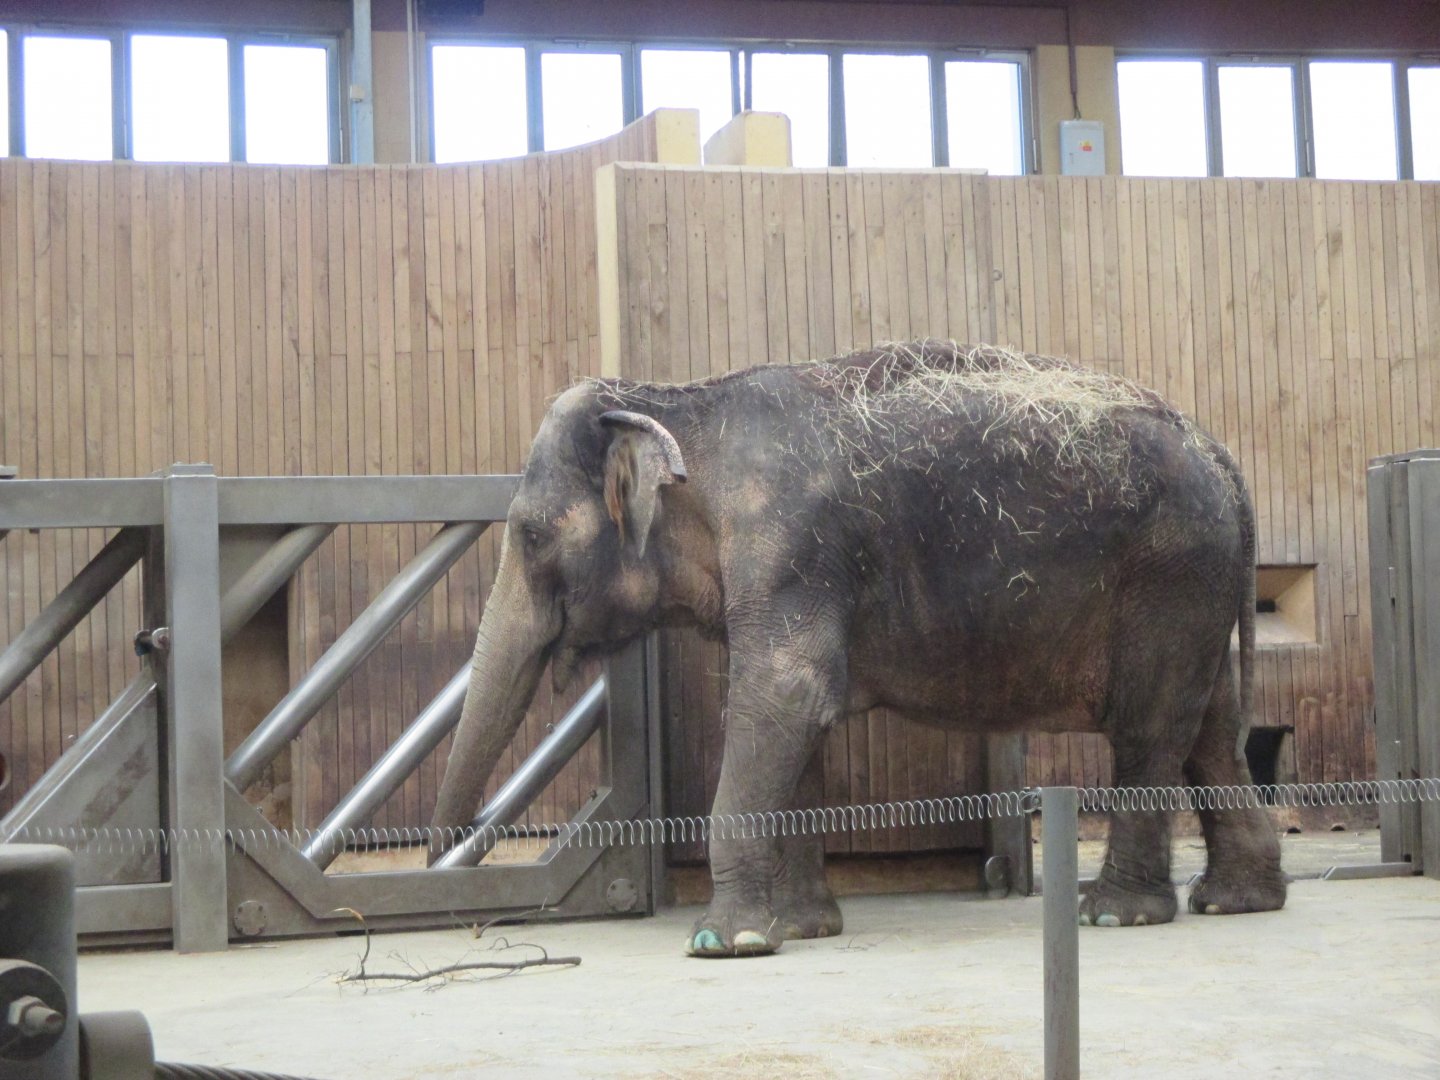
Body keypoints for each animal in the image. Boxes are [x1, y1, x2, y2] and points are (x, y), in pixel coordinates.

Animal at [432, 339, 1287, 957]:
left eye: (530, 535)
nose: (446, 864)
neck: (678, 400)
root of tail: (1221, 452)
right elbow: (798, 725)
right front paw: (803, 929)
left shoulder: (789, 548)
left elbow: (783, 700)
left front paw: (725, 943)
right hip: (1195, 588)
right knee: (1210, 727)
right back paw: (1235, 901)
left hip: (1170, 573)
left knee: (1149, 726)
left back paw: (1116, 915)